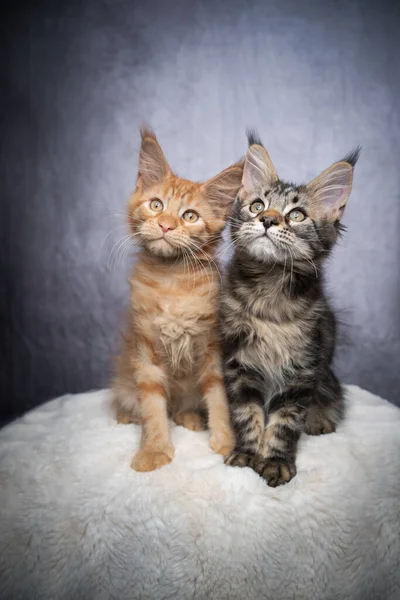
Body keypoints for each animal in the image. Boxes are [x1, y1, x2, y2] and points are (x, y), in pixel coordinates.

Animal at [113, 129, 244, 472]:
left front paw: (227, 443)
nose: (166, 225)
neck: (172, 281)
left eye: (190, 216)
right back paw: (127, 416)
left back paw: (190, 417)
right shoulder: (146, 348)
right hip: (124, 380)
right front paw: (154, 449)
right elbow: (152, 405)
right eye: (156, 205)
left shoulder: (212, 345)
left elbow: (219, 396)